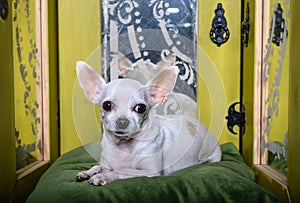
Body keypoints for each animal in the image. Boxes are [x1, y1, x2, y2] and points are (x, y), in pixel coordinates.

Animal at [75, 61, 220, 186]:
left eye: (140, 108)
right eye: (107, 105)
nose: (122, 121)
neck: (124, 146)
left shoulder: (150, 171)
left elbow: (122, 171)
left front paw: (103, 176)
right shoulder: (106, 164)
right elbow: (98, 166)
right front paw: (87, 172)